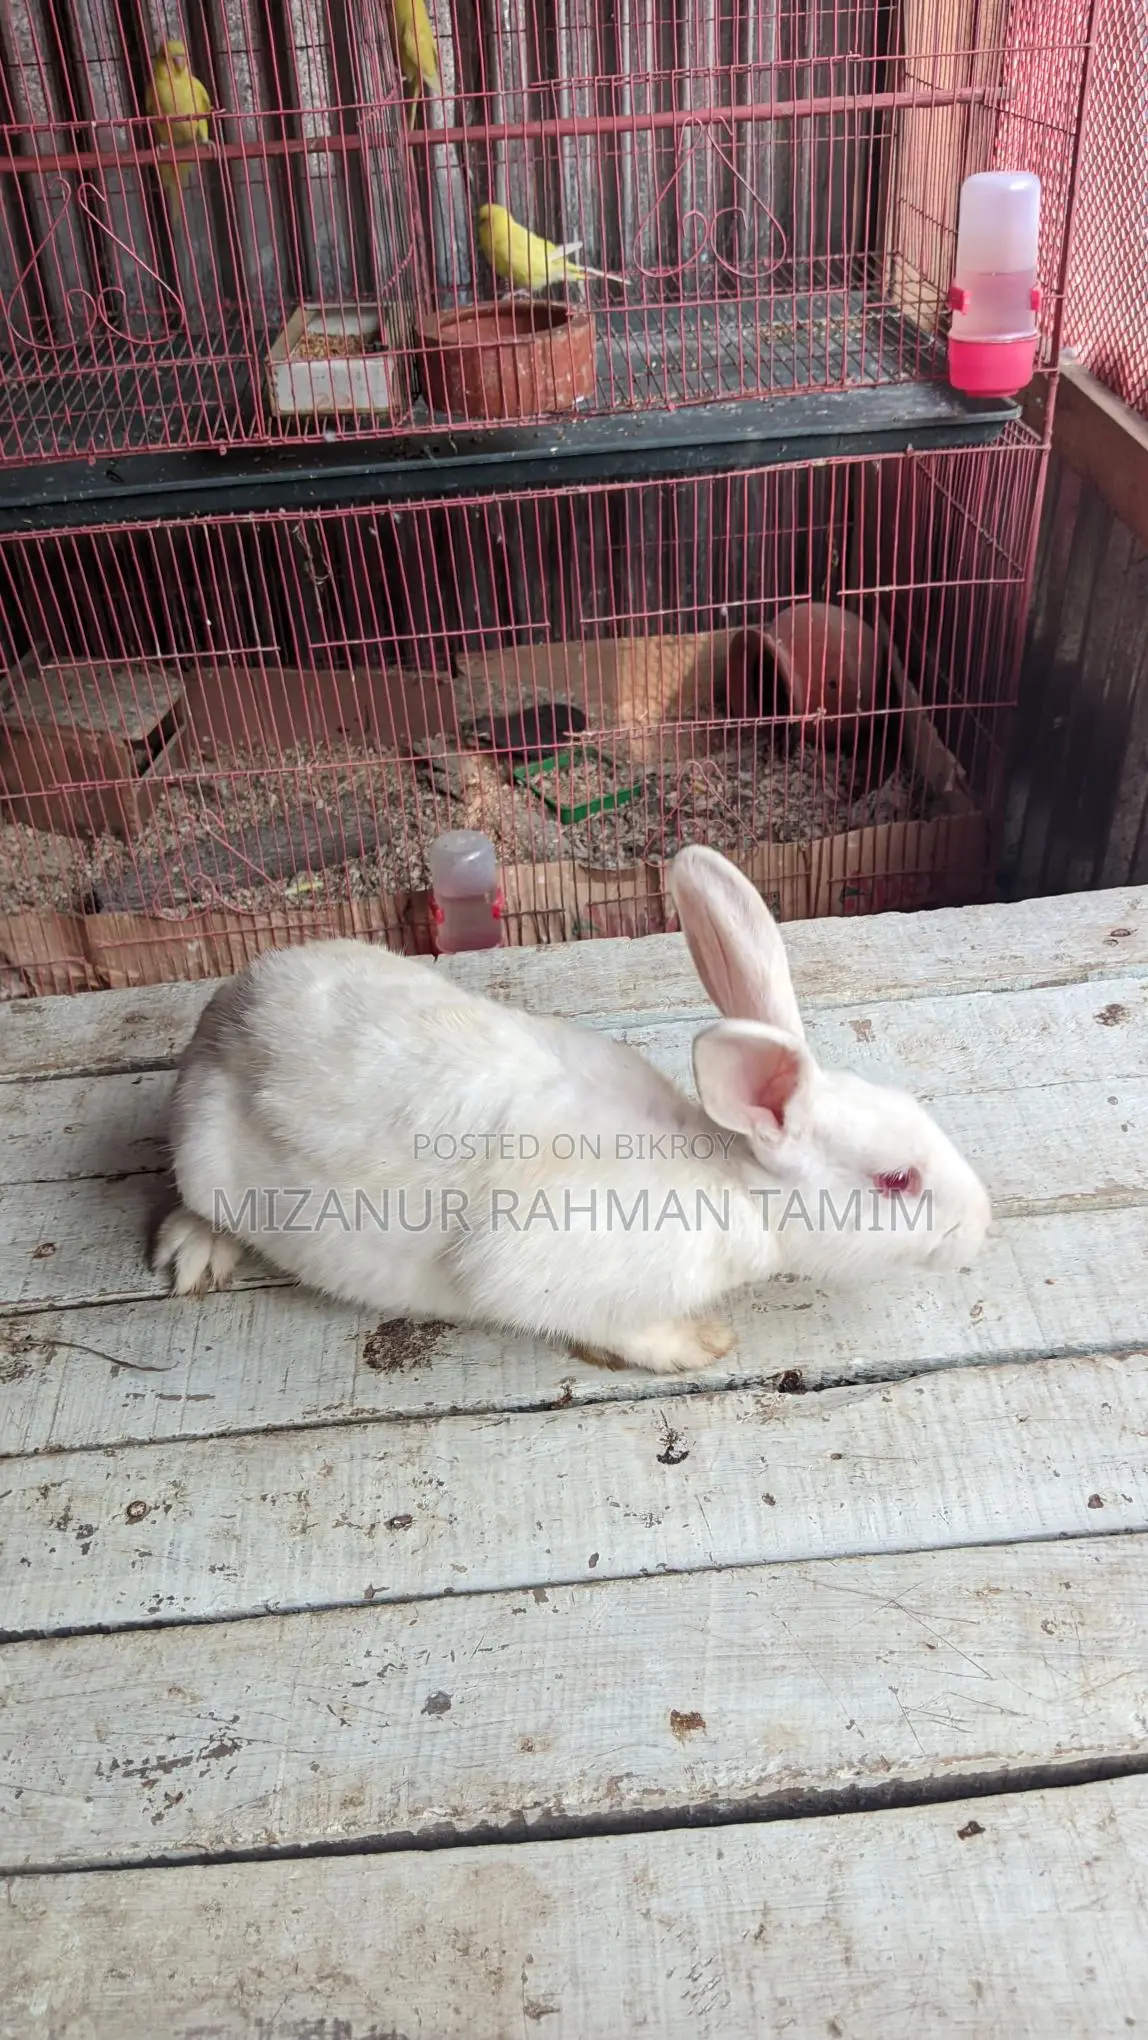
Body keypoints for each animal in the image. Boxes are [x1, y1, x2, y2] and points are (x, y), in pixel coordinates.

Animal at [152, 843, 992, 1375]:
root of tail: (225, 1009)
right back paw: (198, 1255)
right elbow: (608, 1325)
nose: (982, 1227)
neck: (731, 1184)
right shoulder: (539, 1274)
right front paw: (695, 1344)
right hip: (206, 1161)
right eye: (897, 1181)